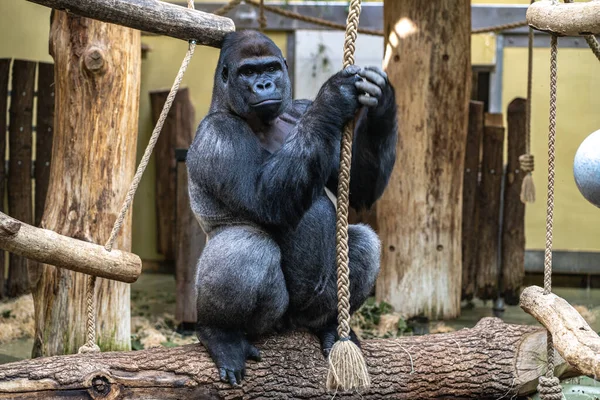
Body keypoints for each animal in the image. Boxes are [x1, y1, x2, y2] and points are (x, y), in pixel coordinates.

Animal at [185, 29, 396, 386]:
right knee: (247, 246)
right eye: (248, 72)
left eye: (270, 68)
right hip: (268, 324)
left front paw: (381, 100)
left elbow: (359, 191)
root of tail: (292, 325)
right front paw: (335, 96)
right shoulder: (219, 136)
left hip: (310, 313)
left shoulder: (300, 109)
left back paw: (331, 327)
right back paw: (221, 334)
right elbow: (264, 198)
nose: (264, 85)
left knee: (363, 242)